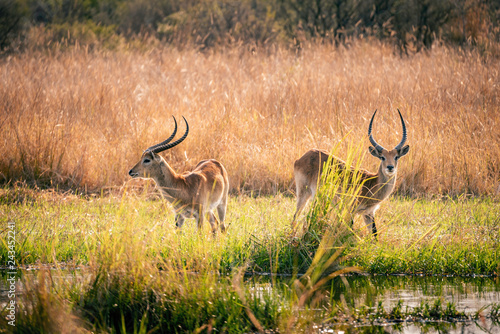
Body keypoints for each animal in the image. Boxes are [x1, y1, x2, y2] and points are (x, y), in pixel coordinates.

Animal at [292, 109, 408, 237]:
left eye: (396, 157)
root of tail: (302, 157)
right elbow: (351, 230)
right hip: (303, 193)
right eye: (382, 157)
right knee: (295, 216)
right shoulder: (350, 210)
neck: (371, 183)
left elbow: (374, 234)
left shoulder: (368, 213)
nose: (390, 167)